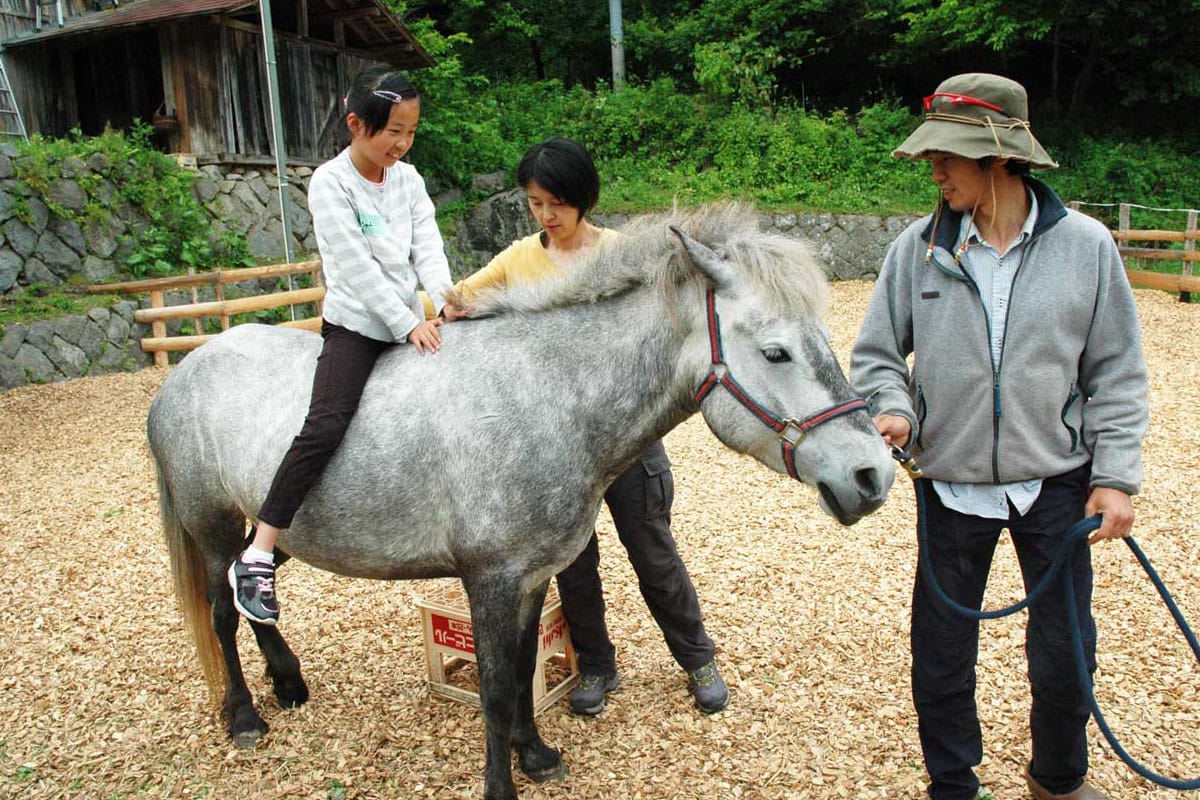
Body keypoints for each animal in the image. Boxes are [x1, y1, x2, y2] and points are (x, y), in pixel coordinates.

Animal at [147, 205, 892, 800]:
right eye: (776, 351)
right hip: (212, 525)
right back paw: (245, 716)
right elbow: (496, 689)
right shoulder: (491, 580)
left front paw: (535, 755)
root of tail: (184, 372)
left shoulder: (533, 578)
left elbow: (527, 668)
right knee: (221, 613)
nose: (873, 472)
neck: (548, 395)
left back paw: (288, 684)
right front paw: (501, 783)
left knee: (251, 589)